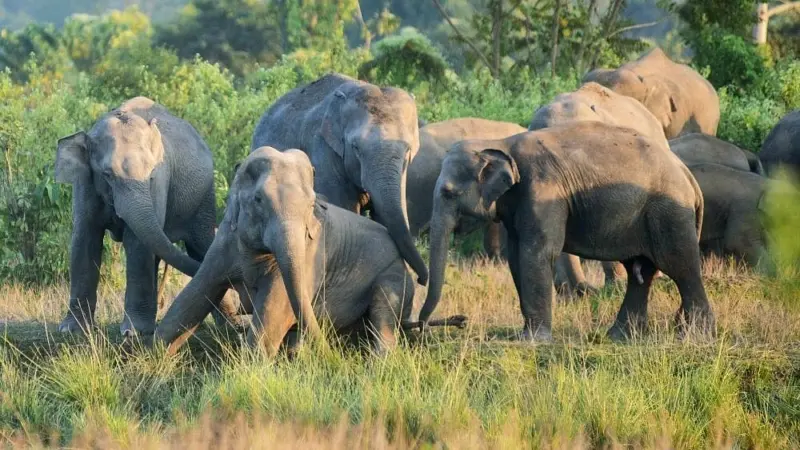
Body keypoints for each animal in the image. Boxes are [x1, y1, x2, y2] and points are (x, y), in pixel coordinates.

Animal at [54, 96, 233, 336]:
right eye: (107, 175)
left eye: (151, 174)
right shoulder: (85, 182)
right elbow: (85, 239)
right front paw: (71, 330)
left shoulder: (158, 182)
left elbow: (137, 243)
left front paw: (132, 333)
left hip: (203, 197)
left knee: (202, 246)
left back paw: (232, 325)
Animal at [154, 147, 464, 355]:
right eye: (258, 200)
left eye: (311, 205)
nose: (328, 355)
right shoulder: (225, 244)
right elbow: (195, 295)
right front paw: (153, 356)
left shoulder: (309, 252)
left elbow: (275, 312)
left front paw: (250, 367)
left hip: (394, 277)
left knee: (384, 315)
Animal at [420, 121, 714, 342]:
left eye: (448, 193)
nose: (423, 327)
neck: (501, 144)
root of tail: (688, 176)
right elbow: (515, 257)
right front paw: (526, 334)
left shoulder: (543, 191)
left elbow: (537, 253)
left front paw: (533, 340)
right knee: (639, 272)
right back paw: (620, 337)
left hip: (669, 213)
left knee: (680, 266)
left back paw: (694, 336)